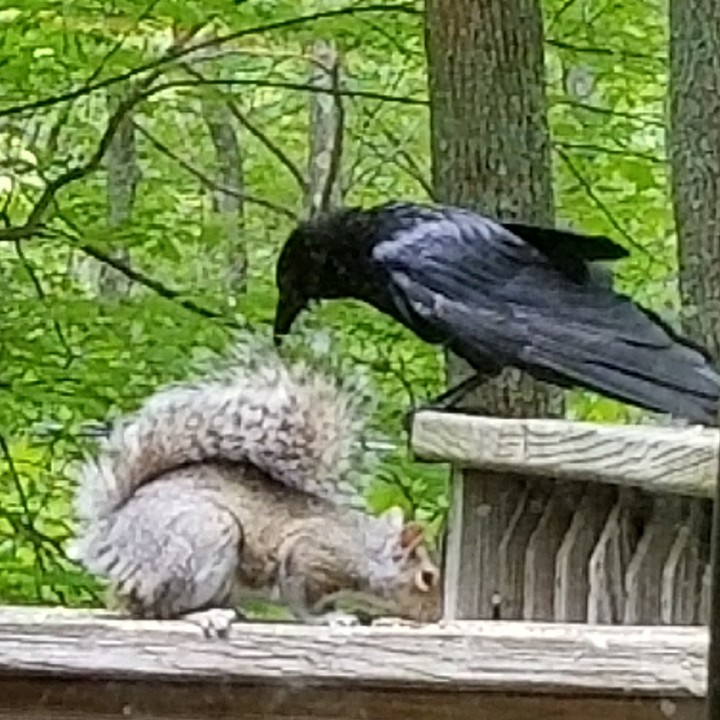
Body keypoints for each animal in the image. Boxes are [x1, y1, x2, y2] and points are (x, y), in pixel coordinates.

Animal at [68, 346, 442, 634]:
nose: (436, 616)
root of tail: (113, 534)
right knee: (159, 609)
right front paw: (329, 619)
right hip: (203, 538)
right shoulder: (308, 554)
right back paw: (205, 615)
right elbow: (300, 600)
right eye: (427, 577)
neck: (364, 551)